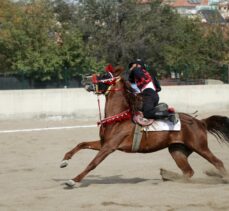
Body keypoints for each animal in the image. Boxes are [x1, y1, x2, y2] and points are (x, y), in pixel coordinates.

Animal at [60, 65, 229, 186]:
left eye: (104, 76)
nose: (85, 79)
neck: (119, 118)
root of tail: (201, 121)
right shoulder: (104, 143)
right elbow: (82, 144)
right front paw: (65, 160)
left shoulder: (109, 146)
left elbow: (93, 163)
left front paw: (73, 180)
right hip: (177, 150)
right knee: (188, 172)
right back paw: (168, 176)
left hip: (200, 146)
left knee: (217, 162)